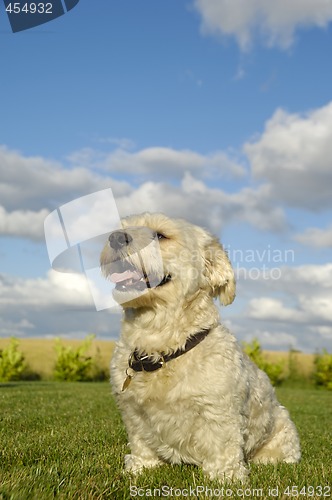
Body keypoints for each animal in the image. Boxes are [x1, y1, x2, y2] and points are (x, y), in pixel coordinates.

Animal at [100, 211, 300, 480]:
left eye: (161, 235)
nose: (115, 238)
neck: (161, 347)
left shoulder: (218, 410)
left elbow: (222, 445)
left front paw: (226, 478)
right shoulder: (132, 411)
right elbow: (141, 442)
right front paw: (142, 467)